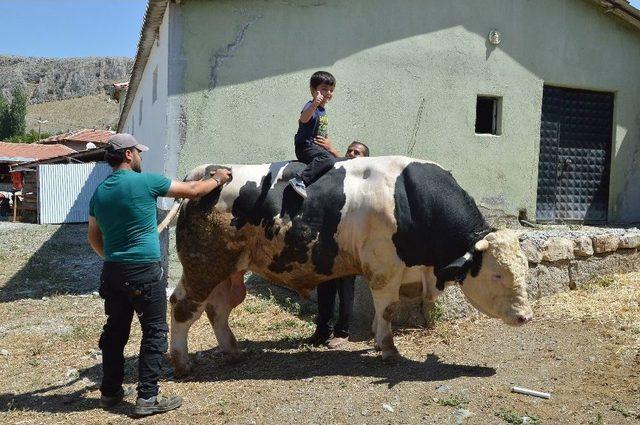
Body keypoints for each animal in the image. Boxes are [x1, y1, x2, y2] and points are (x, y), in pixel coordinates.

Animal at [162, 156, 532, 374]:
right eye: (497, 274)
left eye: (524, 270)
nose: (525, 316)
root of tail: (206, 171)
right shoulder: (384, 268)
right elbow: (387, 309)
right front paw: (389, 349)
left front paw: (379, 342)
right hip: (203, 265)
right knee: (182, 306)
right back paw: (181, 363)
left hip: (231, 270)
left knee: (218, 308)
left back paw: (233, 351)